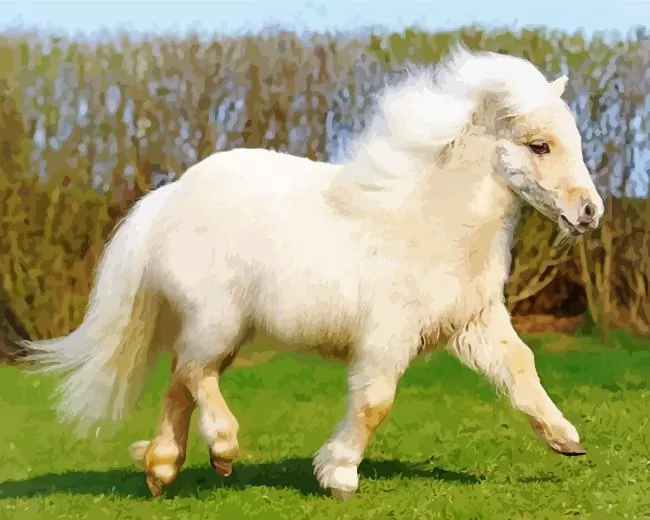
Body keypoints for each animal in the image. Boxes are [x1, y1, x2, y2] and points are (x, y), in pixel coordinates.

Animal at [24, 45, 604, 501]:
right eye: (539, 145)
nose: (590, 212)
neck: (430, 224)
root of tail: (169, 198)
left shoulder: (474, 323)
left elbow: (521, 368)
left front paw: (567, 440)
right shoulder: (387, 338)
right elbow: (374, 403)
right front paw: (339, 475)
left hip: (224, 331)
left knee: (181, 380)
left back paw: (163, 469)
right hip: (217, 320)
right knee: (192, 374)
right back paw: (223, 450)